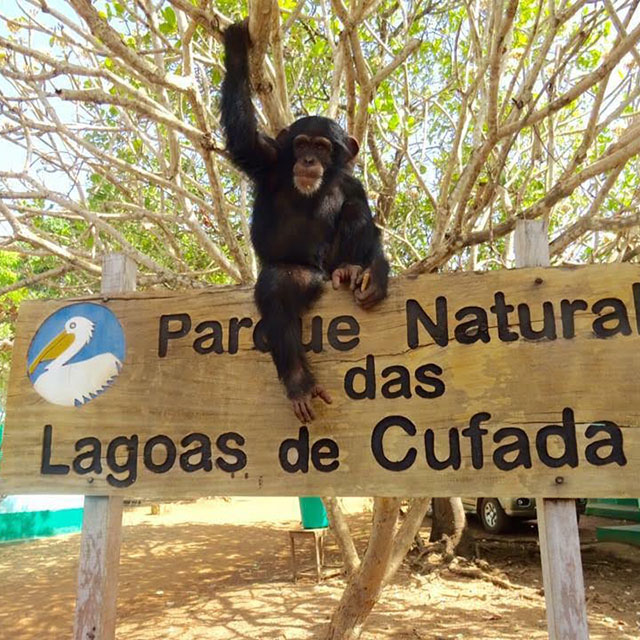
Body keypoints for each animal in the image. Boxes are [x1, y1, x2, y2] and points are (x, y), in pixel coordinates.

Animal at [221, 20, 389, 422]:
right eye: (301, 144)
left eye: (323, 147)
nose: (309, 160)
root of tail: (323, 275)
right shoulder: (265, 158)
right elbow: (242, 136)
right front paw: (236, 47)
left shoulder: (354, 184)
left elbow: (364, 214)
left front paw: (376, 272)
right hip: (304, 274)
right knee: (276, 289)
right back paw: (298, 381)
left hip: (328, 264)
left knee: (353, 212)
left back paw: (351, 270)